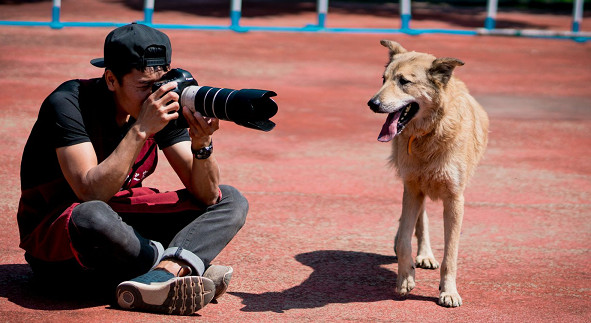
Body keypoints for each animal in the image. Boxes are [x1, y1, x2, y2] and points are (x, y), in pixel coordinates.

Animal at [370, 41, 490, 308]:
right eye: (383, 79)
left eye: (404, 81)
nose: (372, 103)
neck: (429, 134)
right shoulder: (412, 188)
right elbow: (405, 239)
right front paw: (405, 278)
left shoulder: (455, 200)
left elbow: (451, 254)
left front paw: (449, 292)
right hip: (414, 187)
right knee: (418, 220)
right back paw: (422, 254)